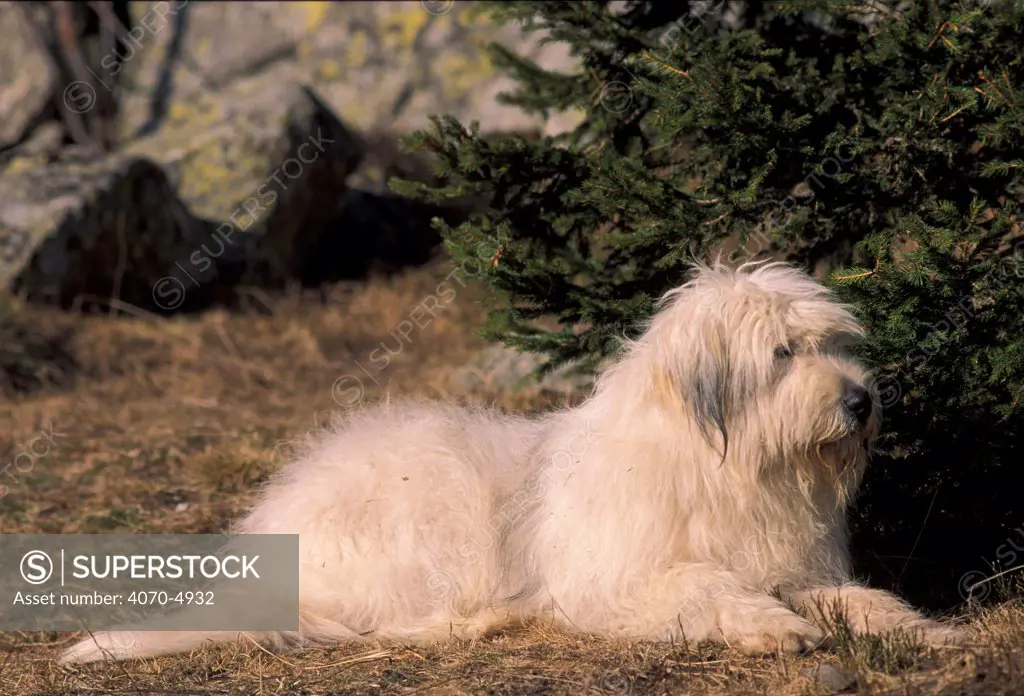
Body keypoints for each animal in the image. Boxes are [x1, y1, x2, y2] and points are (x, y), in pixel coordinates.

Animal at [58, 261, 958, 663]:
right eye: (781, 353)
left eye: (835, 344)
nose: (861, 402)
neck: (726, 465)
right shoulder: (623, 577)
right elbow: (708, 588)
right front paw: (776, 627)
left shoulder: (789, 562)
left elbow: (844, 595)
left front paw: (906, 623)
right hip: (427, 518)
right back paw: (478, 620)